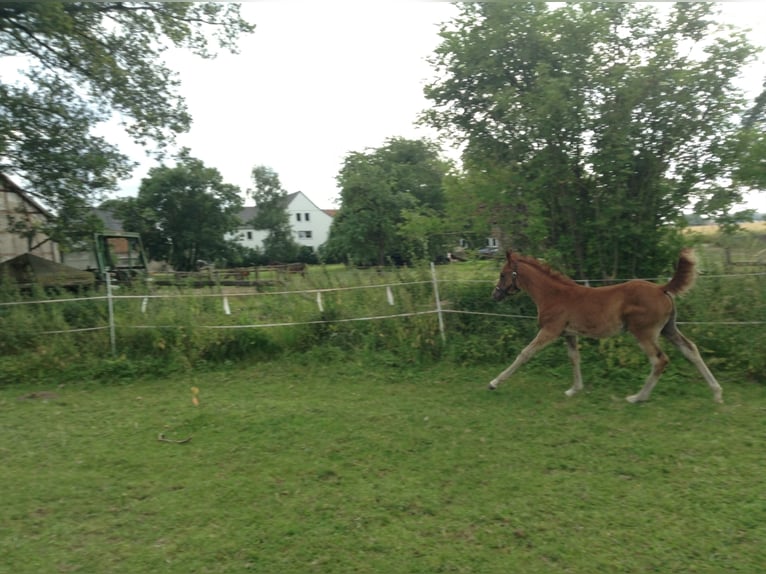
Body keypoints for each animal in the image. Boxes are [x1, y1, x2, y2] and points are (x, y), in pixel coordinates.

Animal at [492, 249, 728, 404]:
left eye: (503, 274)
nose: (495, 295)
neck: (554, 294)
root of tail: (661, 288)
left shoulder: (550, 330)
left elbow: (525, 354)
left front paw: (494, 383)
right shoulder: (569, 333)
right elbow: (574, 358)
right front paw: (574, 390)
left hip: (644, 332)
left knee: (659, 360)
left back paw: (637, 397)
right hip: (668, 329)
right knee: (690, 350)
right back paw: (716, 393)